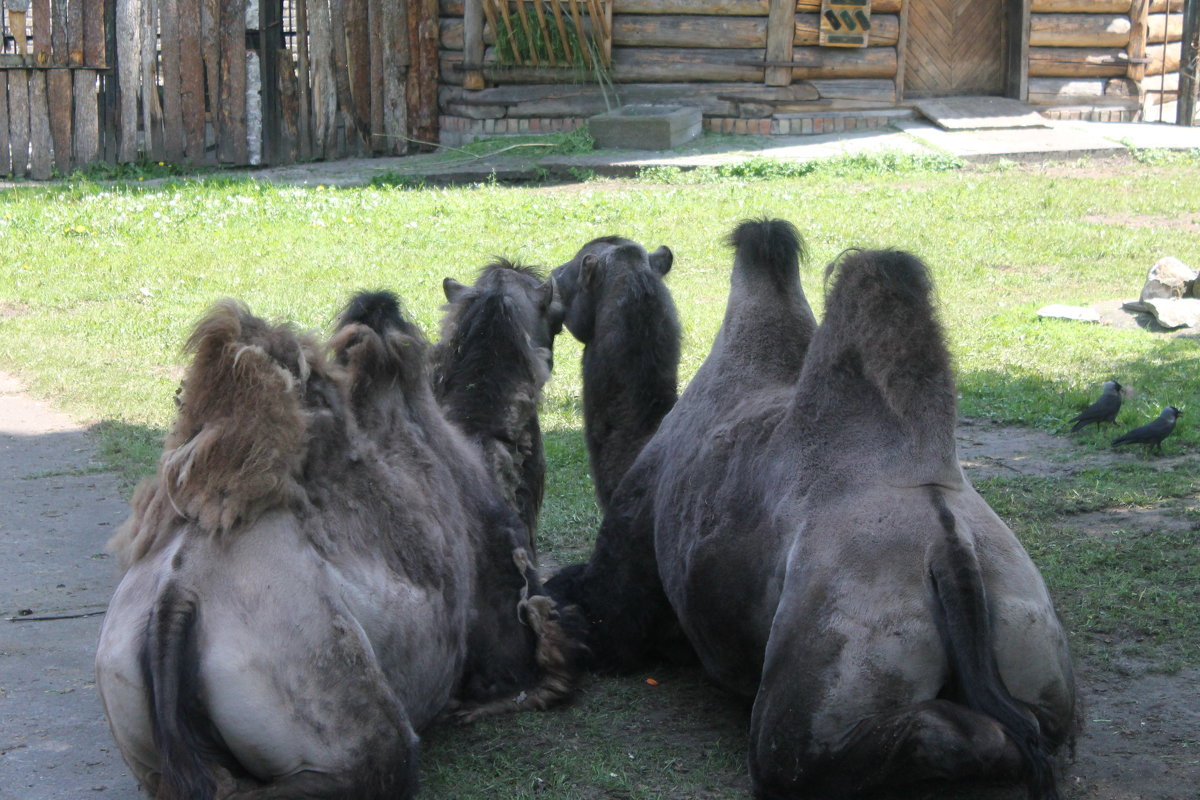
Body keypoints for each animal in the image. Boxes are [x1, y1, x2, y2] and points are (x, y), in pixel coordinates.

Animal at [552, 215, 1080, 796]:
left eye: (570, 270)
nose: (549, 285)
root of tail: (950, 554)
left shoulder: (626, 567)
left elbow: (585, 612)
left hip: (841, 647)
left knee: (789, 756)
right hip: (1033, 633)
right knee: (1042, 725)